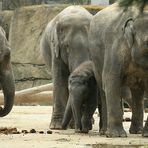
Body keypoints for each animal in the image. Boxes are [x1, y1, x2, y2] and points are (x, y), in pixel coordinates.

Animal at [89, 2, 148, 138]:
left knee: (137, 91)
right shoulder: (116, 47)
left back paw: (137, 132)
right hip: (96, 59)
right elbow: (111, 80)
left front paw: (146, 135)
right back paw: (104, 132)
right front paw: (117, 135)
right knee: (103, 87)